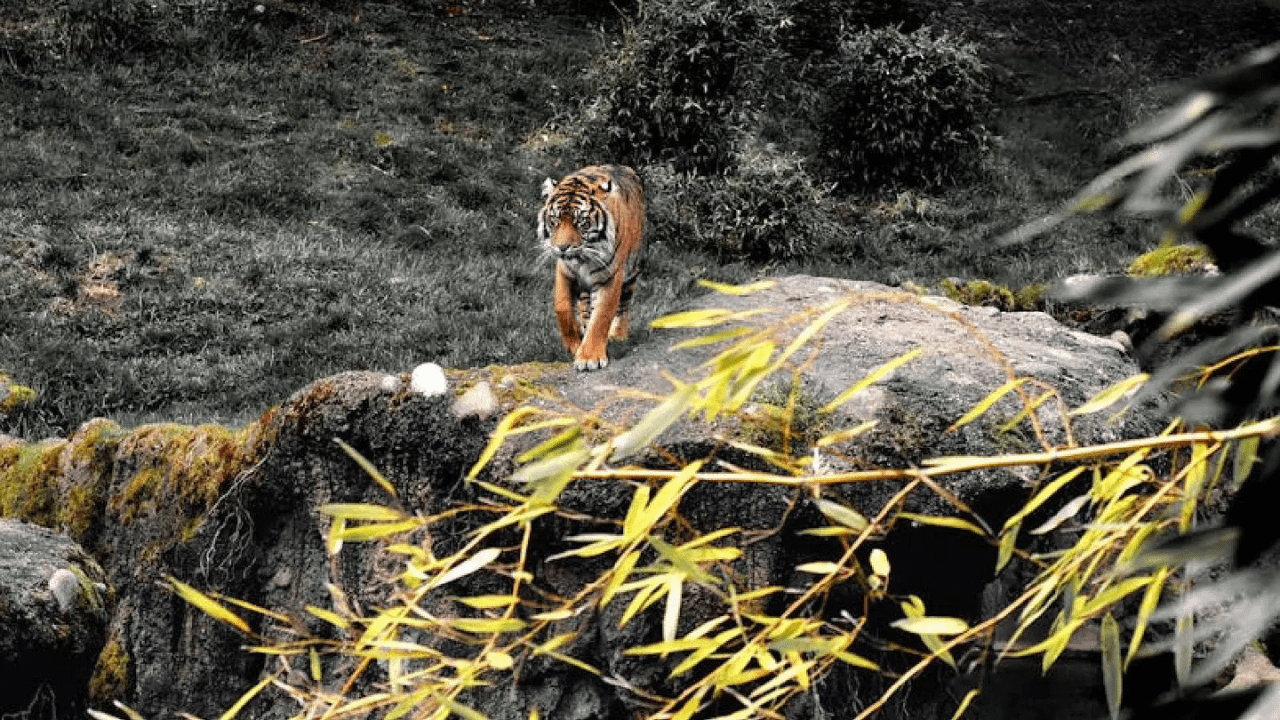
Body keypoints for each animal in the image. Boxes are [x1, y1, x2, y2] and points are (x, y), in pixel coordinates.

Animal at [537, 164, 646, 371]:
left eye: (581, 222)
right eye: (554, 220)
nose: (562, 247)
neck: (582, 258)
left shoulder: (610, 276)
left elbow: (602, 315)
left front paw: (589, 357)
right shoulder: (565, 271)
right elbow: (562, 306)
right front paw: (574, 345)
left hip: (632, 268)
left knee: (624, 304)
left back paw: (619, 335)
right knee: (585, 307)